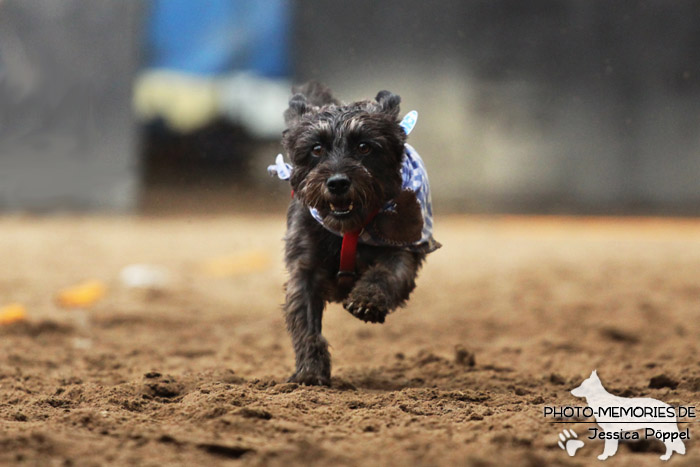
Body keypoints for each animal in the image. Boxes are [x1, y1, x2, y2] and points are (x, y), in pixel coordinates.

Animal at [278, 82, 438, 386]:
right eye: (316, 149)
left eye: (364, 147)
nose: (338, 183)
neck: (347, 231)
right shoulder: (304, 268)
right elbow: (306, 325)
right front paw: (310, 371)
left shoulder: (404, 247)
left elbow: (386, 273)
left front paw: (367, 300)